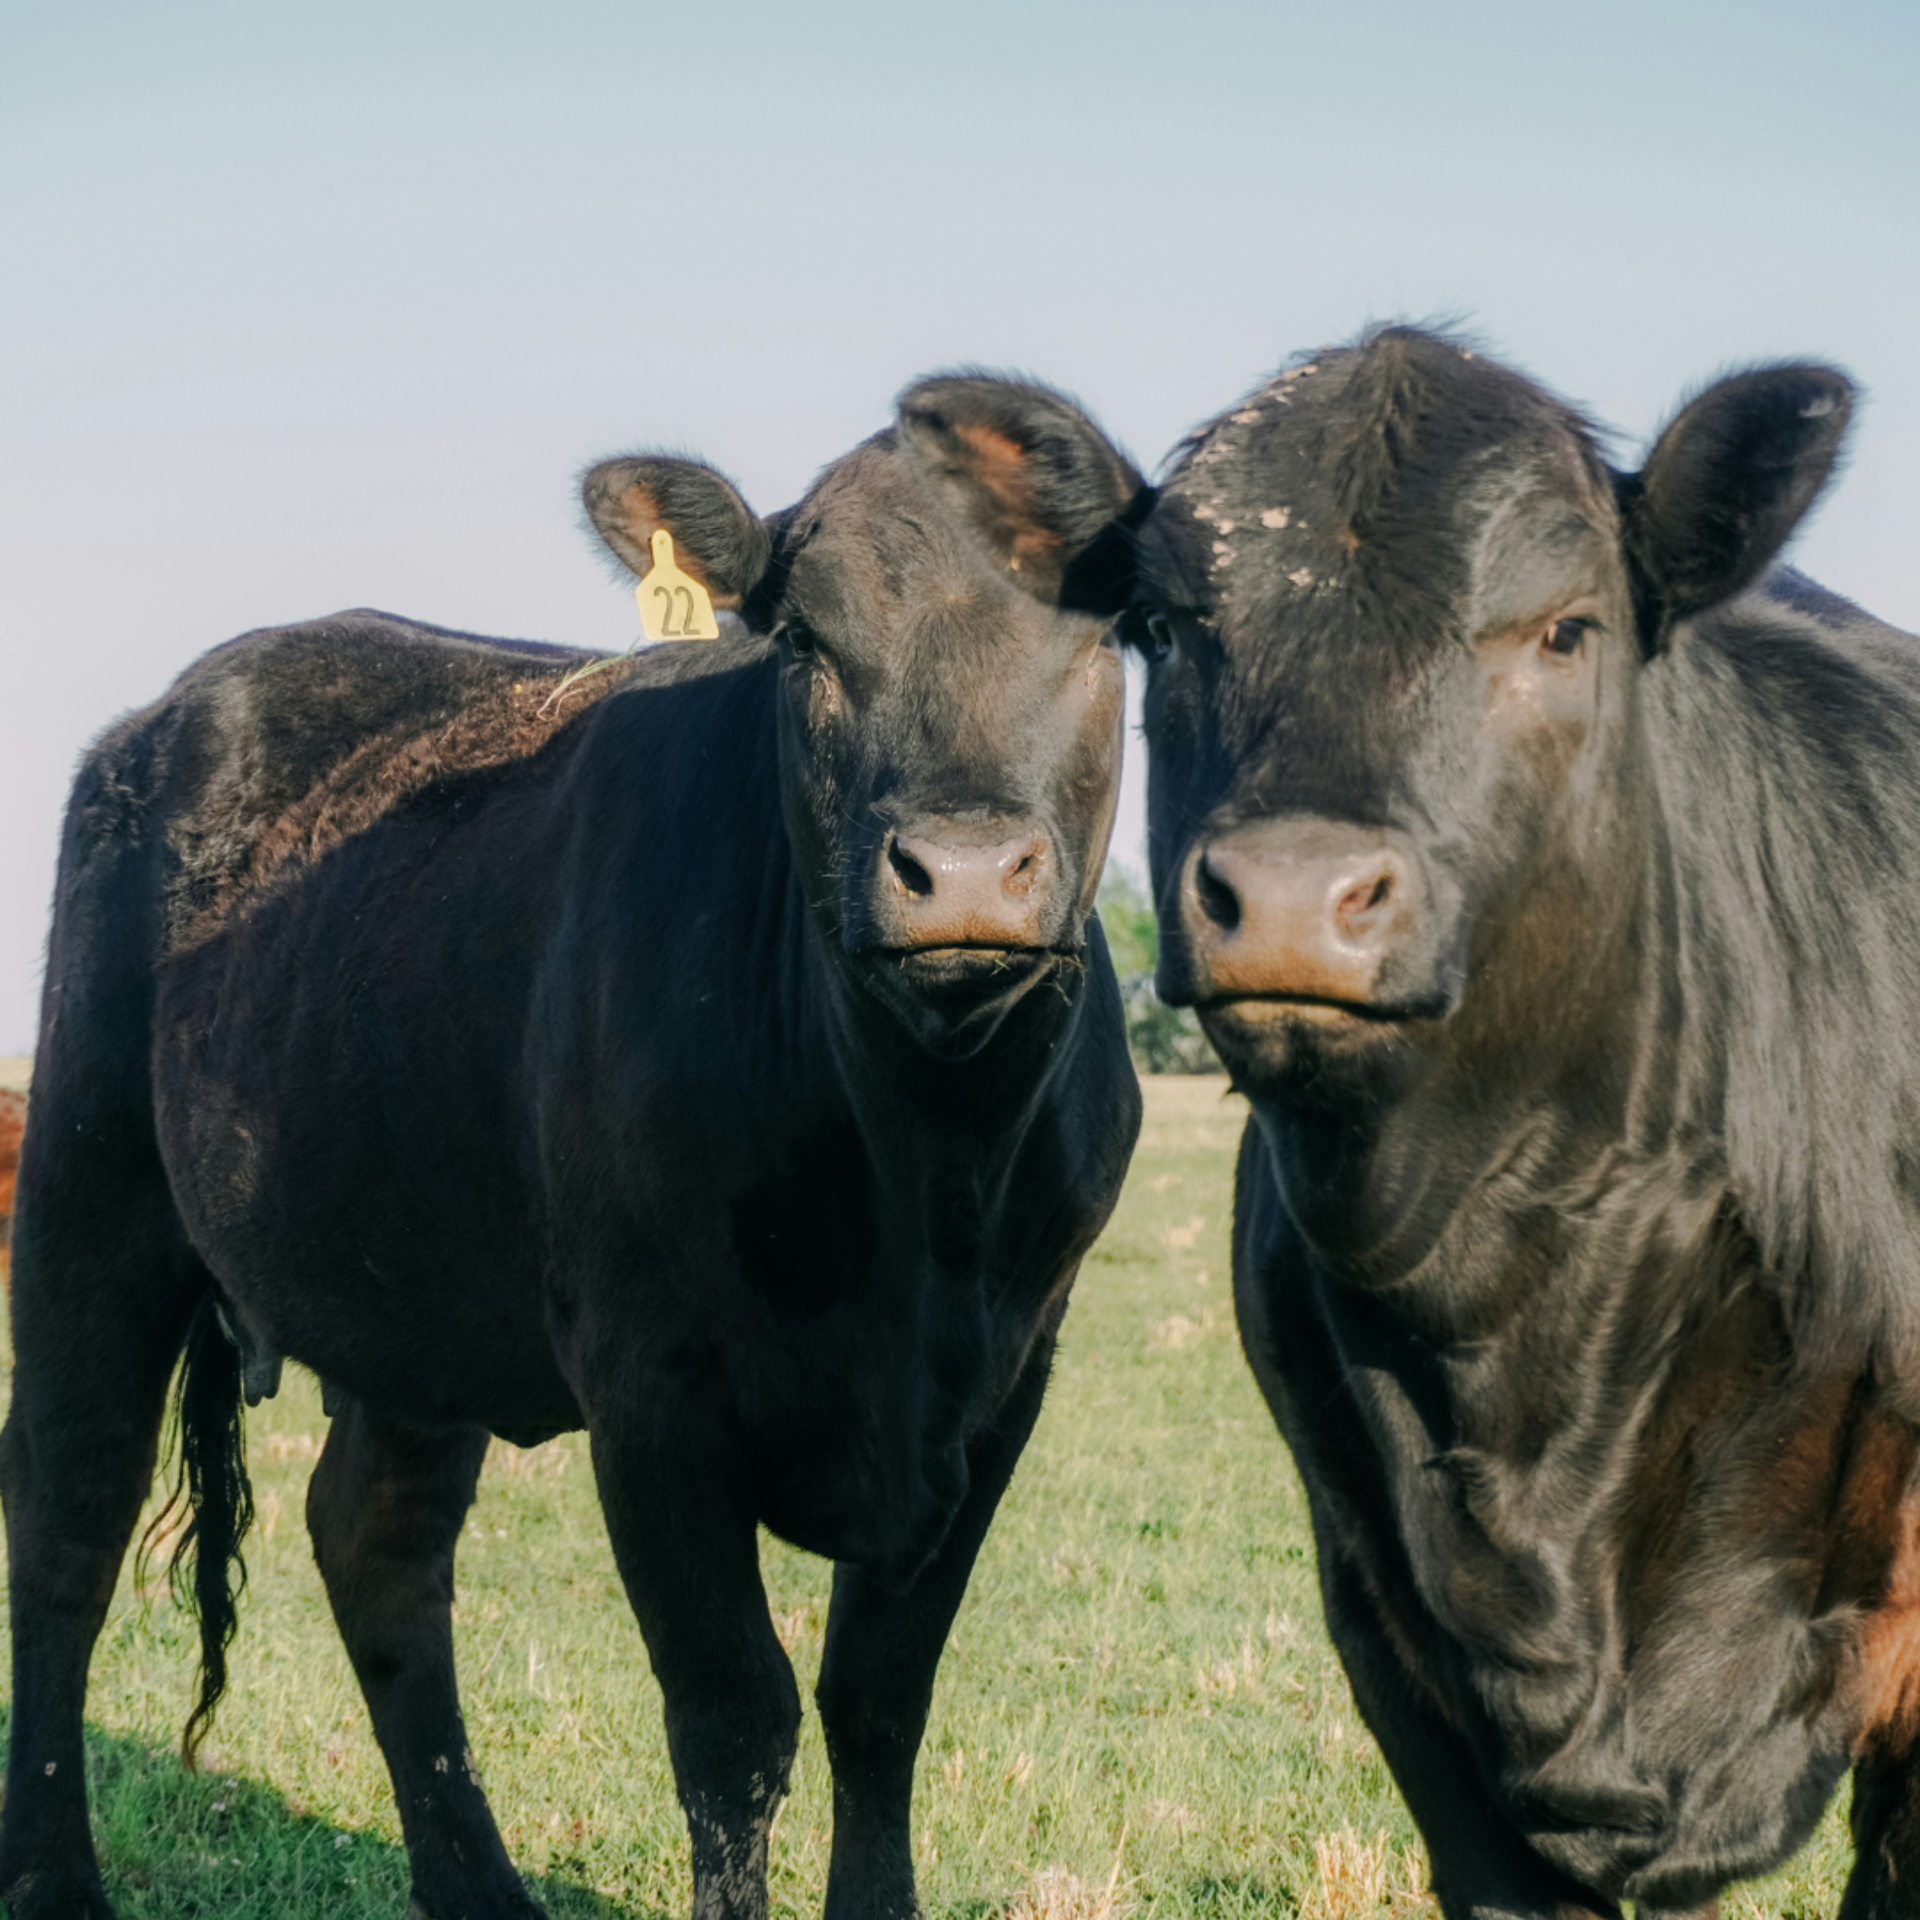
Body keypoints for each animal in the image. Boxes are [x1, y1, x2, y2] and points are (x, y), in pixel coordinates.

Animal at [0, 374, 1149, 1920]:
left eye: (1112, 631)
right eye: (802, 640)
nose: (963, 872)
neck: (926, 1178)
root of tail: (171, 710)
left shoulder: (1007, 1378)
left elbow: (878, 1700)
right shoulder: (651, 1381)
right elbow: (736, 1721)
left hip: (410, 1270)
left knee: (376, 1536)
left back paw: (478, 1888)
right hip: (90, 1180)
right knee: (69, 1508)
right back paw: (54, 1878)